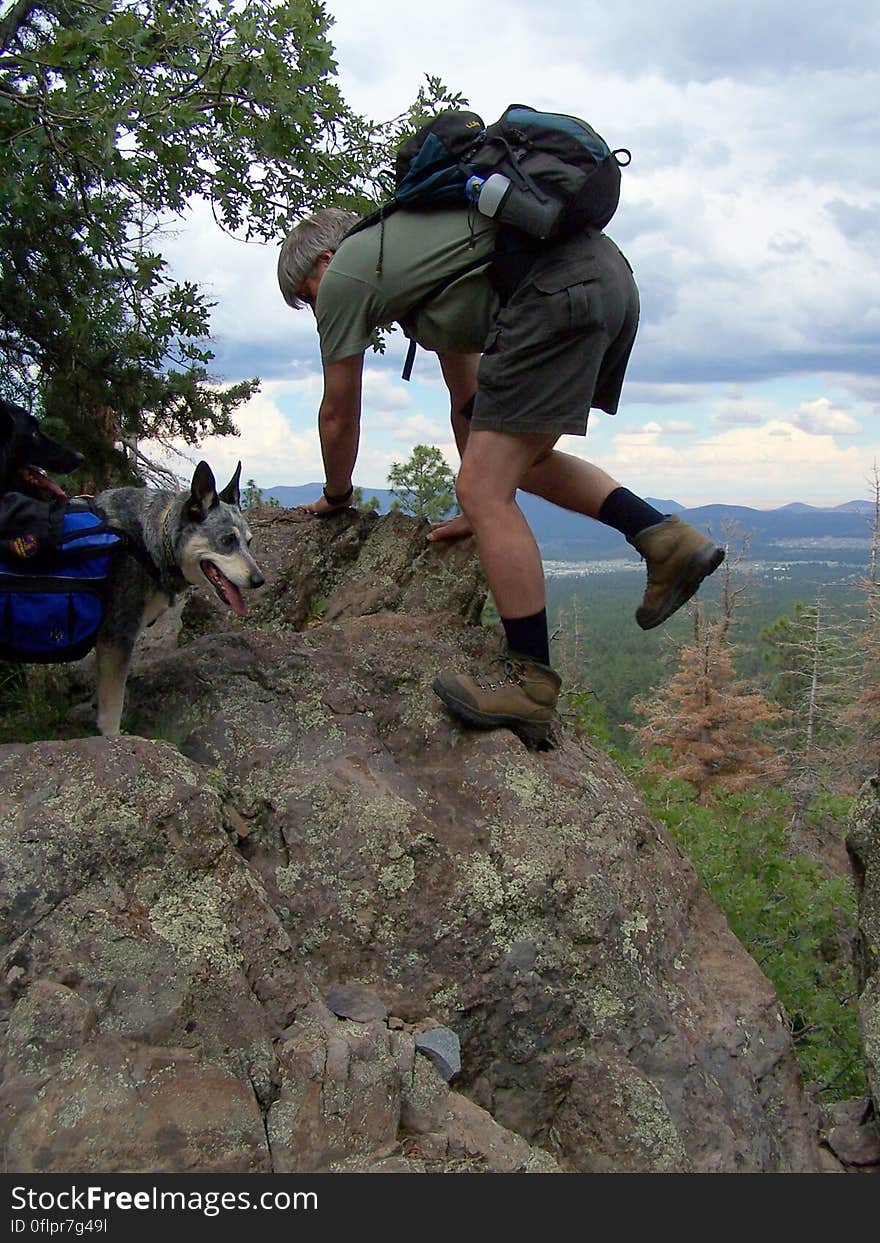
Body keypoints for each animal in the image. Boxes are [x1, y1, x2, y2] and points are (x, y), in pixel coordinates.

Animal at [95, 459, 264, 730]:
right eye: (227, 540)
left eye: (248, 542)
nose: (259, 580)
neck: (153, 538)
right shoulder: (116, 637)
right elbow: (111, 713)